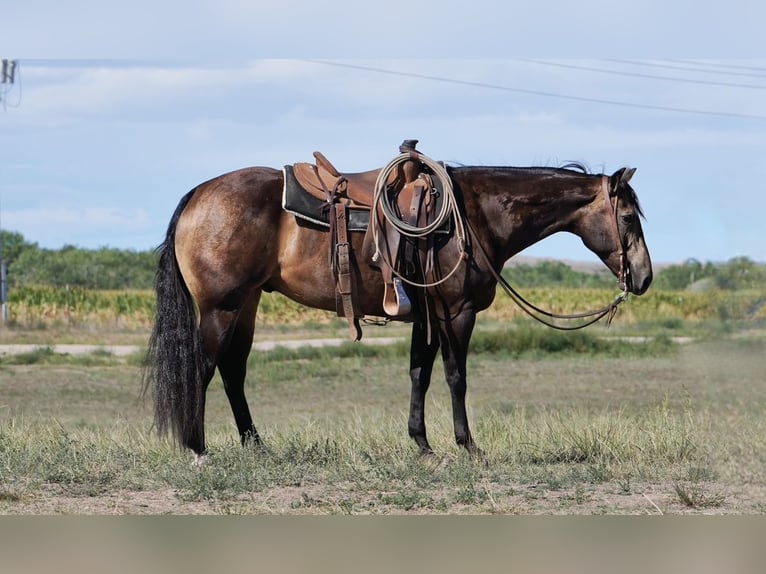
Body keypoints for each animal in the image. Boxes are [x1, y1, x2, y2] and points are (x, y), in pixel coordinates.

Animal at [144, 143, 656, 464]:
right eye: (628, 217)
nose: (645, 277)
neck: (475, 215)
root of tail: (199, 194)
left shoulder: (424, 315)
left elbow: (419, 374)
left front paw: (423, 445)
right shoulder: (455, 313)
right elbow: (455, 377)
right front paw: (468, 446)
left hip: (246, 306)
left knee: (233, 372)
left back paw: (255, 446)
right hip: (221, 308)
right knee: (203, 368)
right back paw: (198, 449)